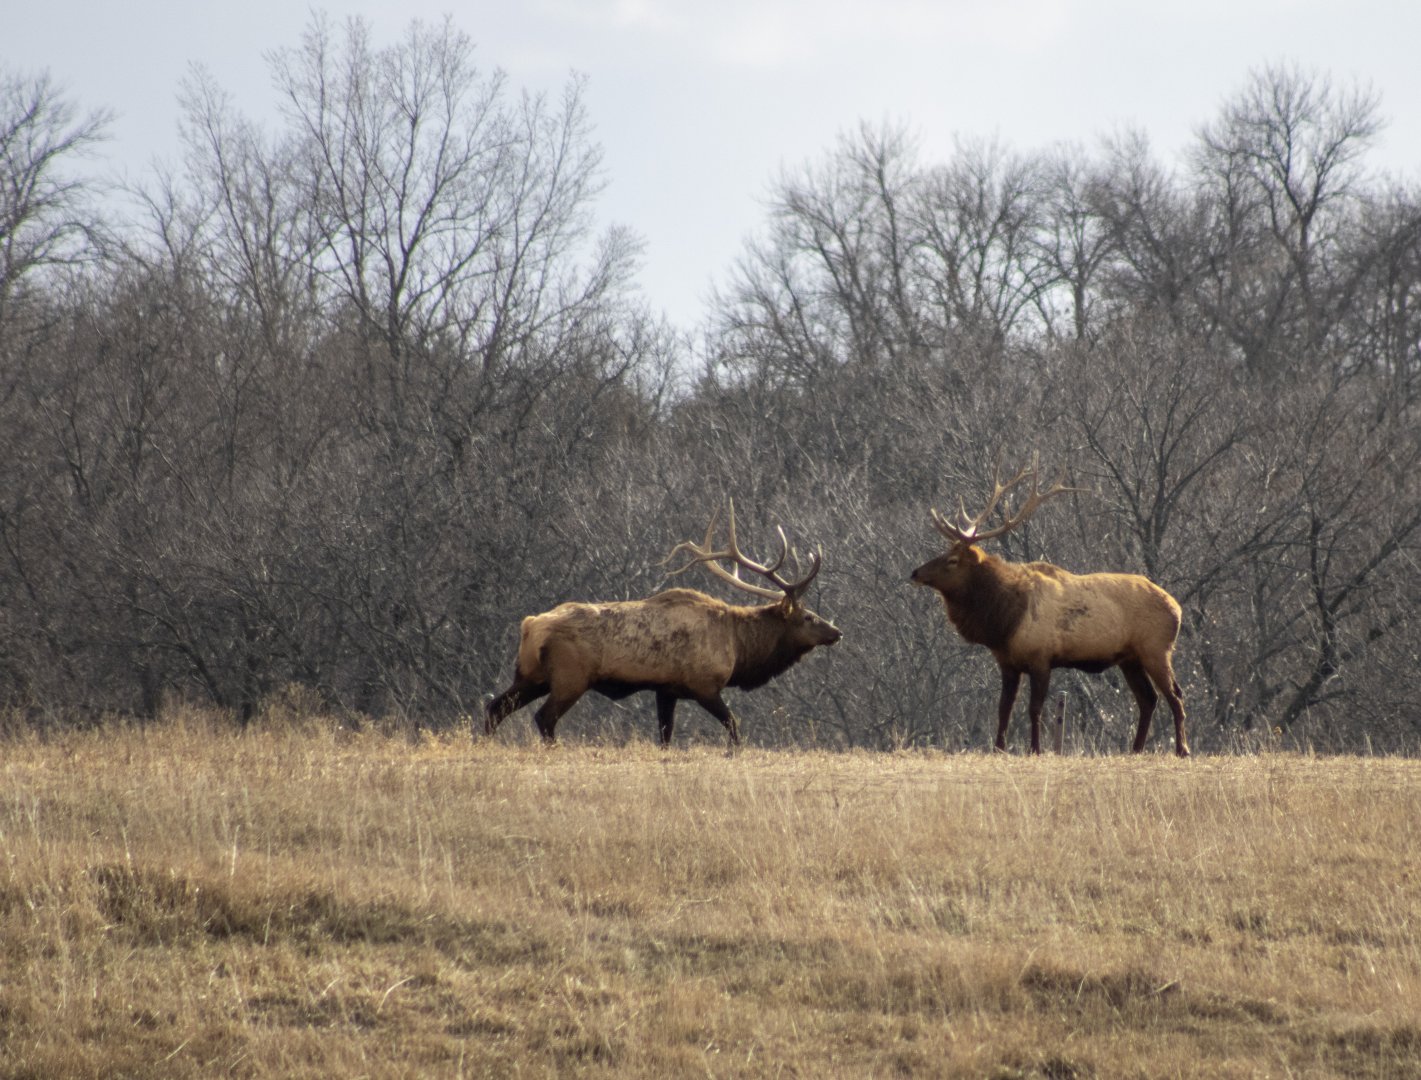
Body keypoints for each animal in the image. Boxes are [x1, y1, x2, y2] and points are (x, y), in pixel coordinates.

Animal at [484, 503, 841, 746]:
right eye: (808, 616)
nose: (837, 632)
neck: (739, 648)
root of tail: (530, 626)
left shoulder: (666, 690)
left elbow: (665, 735)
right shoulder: (704, 684)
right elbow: (733, 724)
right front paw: (734, 751)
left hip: (531, 675)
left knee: (494, 706)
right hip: (570, 677)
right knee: (543, 717)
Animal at [910, 461, 1190, 757]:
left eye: (952, 560)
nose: (915, 572)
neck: (1005, 621)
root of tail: (1177, 609)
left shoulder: (1041, 658)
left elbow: (1035, 709)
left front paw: (1035, 748)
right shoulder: (1007, 662)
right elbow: (1003, 708)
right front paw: (998, 748)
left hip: (1156, 649)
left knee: (1175, 695)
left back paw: (1182, 749)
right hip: (1129, 658)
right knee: (1148, 699)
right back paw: (1135, 749)